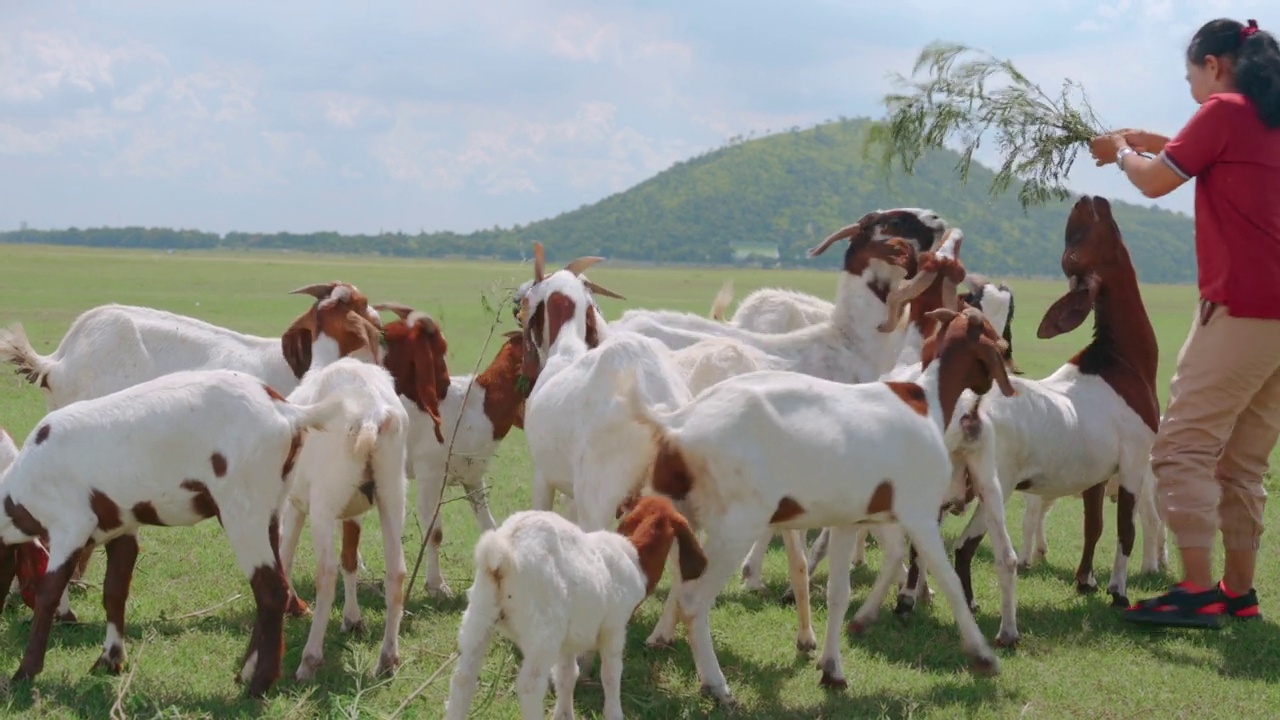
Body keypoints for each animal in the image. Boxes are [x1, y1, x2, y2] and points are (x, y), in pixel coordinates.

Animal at [0, 366, 345, 691]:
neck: (17, 490)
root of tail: (286, 412)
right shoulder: (122, 527)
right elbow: (114, 591)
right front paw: (111, 659)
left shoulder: (70, 527)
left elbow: (48, 595)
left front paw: (25, 672)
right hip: (270, 509)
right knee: (273, 585)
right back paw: (247, 672)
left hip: (243, 511)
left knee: (271, 590)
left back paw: (259, 684)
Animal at [276, 356, 409, 681]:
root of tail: (371, 414)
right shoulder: (354, 511)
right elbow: (350, 559)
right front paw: (352, 619)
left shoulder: (297, 505)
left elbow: (286, 556)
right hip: (392, 492)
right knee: (396, 572)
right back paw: (387, 659)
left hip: (324, 502)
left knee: (325, 574)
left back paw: (309, 661)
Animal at [373, 302, 529, 594]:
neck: (477, 405)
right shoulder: (430, 473)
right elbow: (434, 531)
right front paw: (437, 586)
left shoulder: (473, 477)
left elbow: (489, 526)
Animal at [448, 491, 711, 717]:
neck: (636, 557)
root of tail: (501, 551)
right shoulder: (614, 628)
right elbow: (611, 674)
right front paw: (614, 713)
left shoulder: (568, 641)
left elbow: (567, 676)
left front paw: (564, 715)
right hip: (543, 630)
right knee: (530, 686)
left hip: (478, 615)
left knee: (463, 679)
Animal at [616, 303, 1018, 702]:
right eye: (996, 340)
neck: (925, 400)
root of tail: (677, 424)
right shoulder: (918, 512)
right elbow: (949, 582)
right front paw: (983, 655)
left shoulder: (848, 521)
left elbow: (839, 594)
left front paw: (832, 669)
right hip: (735, 526)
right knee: (694, 601)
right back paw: (716, 684)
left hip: (677, 513)